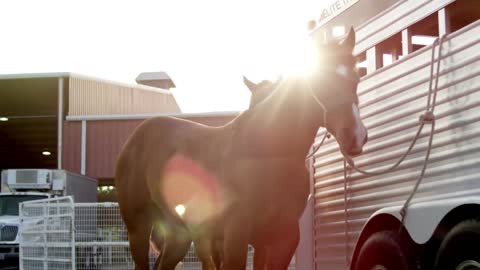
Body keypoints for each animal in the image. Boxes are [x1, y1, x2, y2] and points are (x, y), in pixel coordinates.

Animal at [115, 28, 364, 270]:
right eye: (320, 81)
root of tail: (138, 136)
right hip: (139, 228)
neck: (270, 153)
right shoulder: (235, 233)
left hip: (179, 234)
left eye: (355, 80)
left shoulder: (283, 237)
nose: (355, 136)